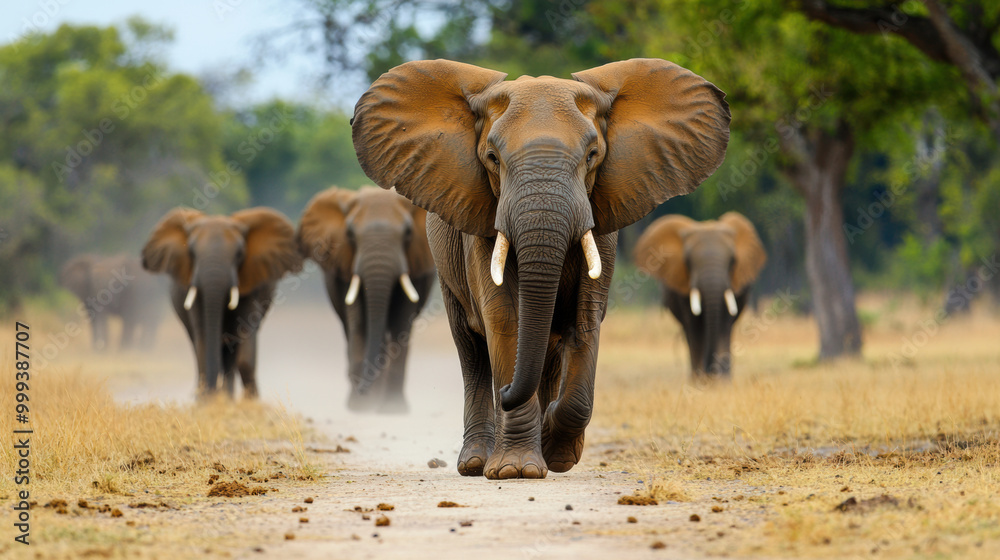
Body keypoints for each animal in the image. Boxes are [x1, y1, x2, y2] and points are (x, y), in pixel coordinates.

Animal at [141, 207, 302, 398]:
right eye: (192, 252)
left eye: (239, 254)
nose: (210, 392)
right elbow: (203, 339)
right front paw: (205, 401)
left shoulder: (251, 283)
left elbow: (244, 341)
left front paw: (250, 402)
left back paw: (228, 396)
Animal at [297, 186, 436, 413]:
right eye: (350, 234)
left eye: (408, 232)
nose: (363, 390)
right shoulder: (346, 265)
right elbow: (360, 322)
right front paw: (360, 407)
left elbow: (400, 324)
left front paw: (393, 410)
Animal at [351, 58, 730, 479]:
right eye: (492, 158)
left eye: (592, 155)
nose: (506, 394)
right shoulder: (481, 221)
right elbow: (503, 319)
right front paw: (515, 470)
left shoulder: (602, 217)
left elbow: (585, 320)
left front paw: (556, 452)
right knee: (472, 351)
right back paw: (476, 461)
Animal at [634, 212, 766, 379]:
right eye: (688, 261)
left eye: (732, 261)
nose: (710, 371)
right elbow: (694, 326)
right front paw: (700, 380)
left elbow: (724, 322)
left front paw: (721, 380)